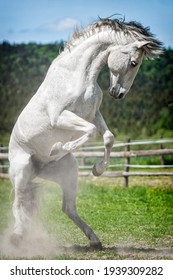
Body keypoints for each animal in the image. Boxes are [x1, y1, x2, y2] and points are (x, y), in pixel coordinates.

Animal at [8, 18, 162, 248]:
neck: (79, 76)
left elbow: (108, 137)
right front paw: (57, 148)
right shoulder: (60, 117)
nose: (119, 94)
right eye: (134, 62)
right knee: (18, 203)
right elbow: (90, 132)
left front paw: (98, 169)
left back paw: (94, 240)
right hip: (21, 171)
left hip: (68, 172)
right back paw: (17, 236)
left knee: (67, 208)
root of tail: (38, 169)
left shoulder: (93, 113)